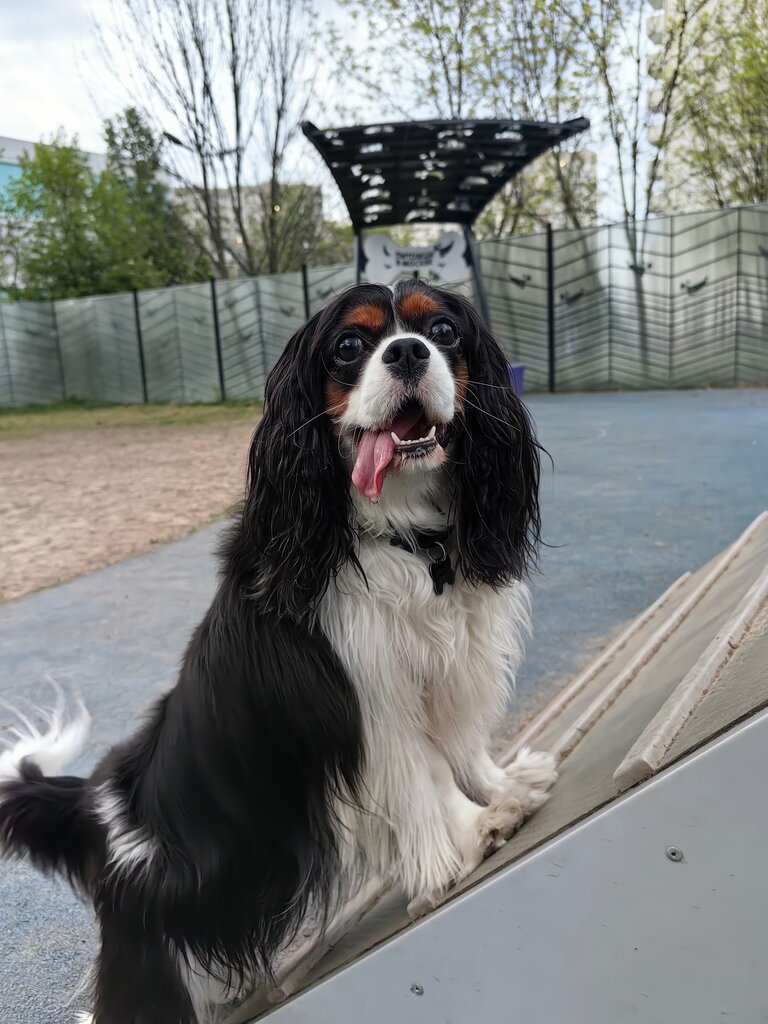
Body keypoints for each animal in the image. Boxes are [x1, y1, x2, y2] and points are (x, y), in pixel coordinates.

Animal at [0, 279, 556, 1023]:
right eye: (349, 346)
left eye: (443, 331)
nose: (409, 352)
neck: (401, 534)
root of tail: (95, 803)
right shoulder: (371, 707)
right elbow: (430, 774)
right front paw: (473, 831)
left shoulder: (448, 670)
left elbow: (465, 751)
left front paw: (506, 788)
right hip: (158, 946)